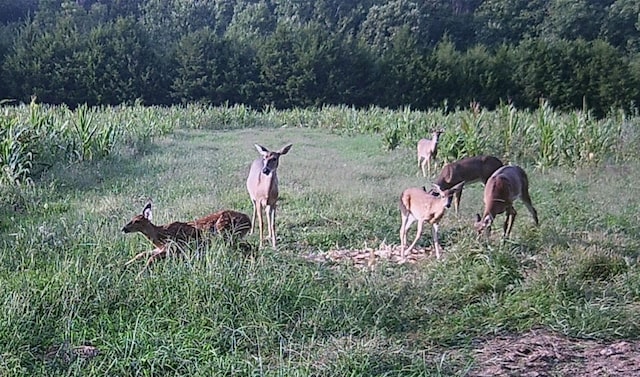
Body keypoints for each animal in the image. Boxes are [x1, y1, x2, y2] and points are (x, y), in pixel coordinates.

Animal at [121, 198, 251, 274]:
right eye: (131, 219)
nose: (123, 229)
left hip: (226, 234)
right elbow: (142, 254)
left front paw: (139, 275)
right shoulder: (161, 248)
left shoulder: (174, 247)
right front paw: (123, 266)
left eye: (137, 221)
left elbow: (151, 258)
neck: (160, 236)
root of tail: (249, 221)